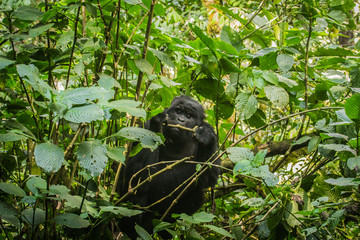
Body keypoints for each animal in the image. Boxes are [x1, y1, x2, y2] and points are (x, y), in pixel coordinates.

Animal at [118, 95, 219, 238]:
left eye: (189, 115)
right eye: (178, 111)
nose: (180, 120)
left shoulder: (211, 130)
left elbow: (209, 176)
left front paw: (205, 135)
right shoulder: (143, 128)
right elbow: (134, 173)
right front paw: (157, 123)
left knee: (197, 194)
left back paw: (166, 229)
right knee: (136, 194)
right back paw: (130, 227)